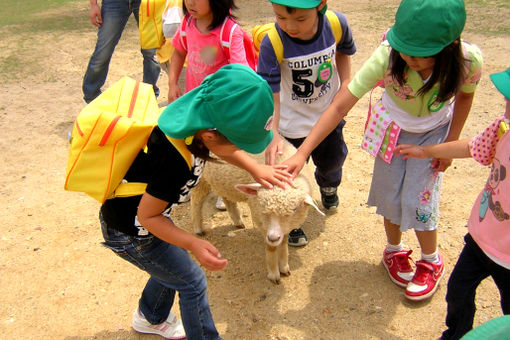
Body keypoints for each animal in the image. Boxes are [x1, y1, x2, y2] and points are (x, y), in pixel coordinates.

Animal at [191, 139, 322, 284]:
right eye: (261, 206)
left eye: (294, 210)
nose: (273, 237)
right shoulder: (261, 220)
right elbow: (271, 248)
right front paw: (274, 273)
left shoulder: (285, 227)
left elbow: (283, 242)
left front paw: (284, 267)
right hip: (200, 177)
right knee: (196, 200)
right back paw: (198, 227)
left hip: (222, 179)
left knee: (226, 197)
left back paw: (237, 221)